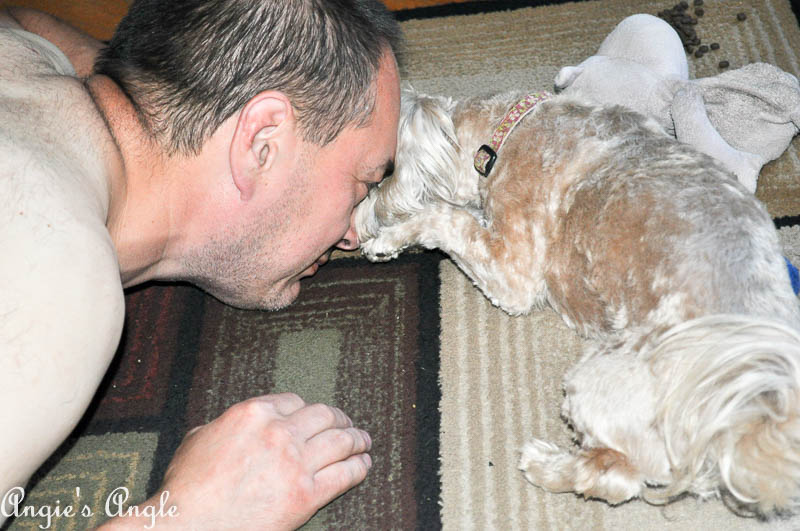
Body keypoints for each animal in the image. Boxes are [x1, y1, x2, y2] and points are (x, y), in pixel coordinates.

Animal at [354, 87, 800, 516]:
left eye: (382, 173)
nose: (355, 220)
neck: (507, 130)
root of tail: (746, 416)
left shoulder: (511, 269)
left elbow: (446, 217)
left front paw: (387, 237)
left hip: (599, 379)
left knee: (617, 477)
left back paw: (545, 464)